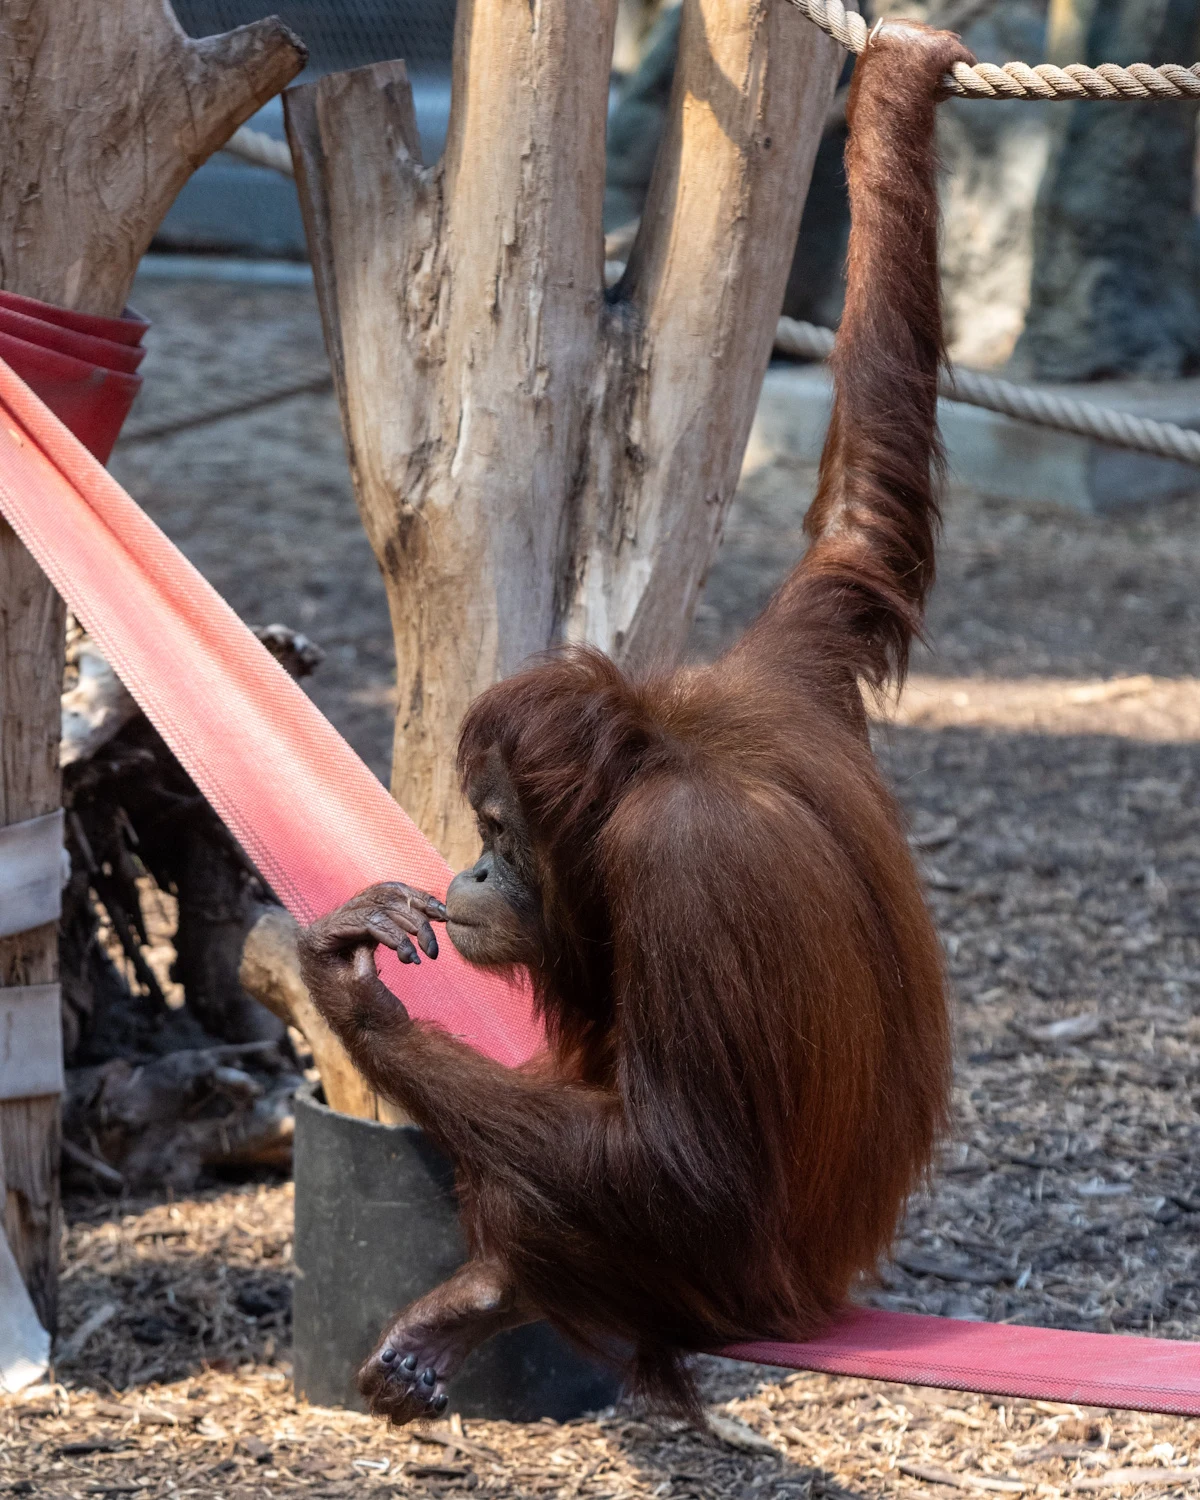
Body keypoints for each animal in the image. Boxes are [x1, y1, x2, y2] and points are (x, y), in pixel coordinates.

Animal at [297, 18, 976, 1422]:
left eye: (500, 826)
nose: (475, 868)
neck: (661, 752)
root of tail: (840, 1291)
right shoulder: (783, 663)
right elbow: (863, 524)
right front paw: (898, 88)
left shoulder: (674, 866)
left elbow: (684, 1164)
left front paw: (354, 998)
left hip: (740, 1288)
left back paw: (498, 1285)